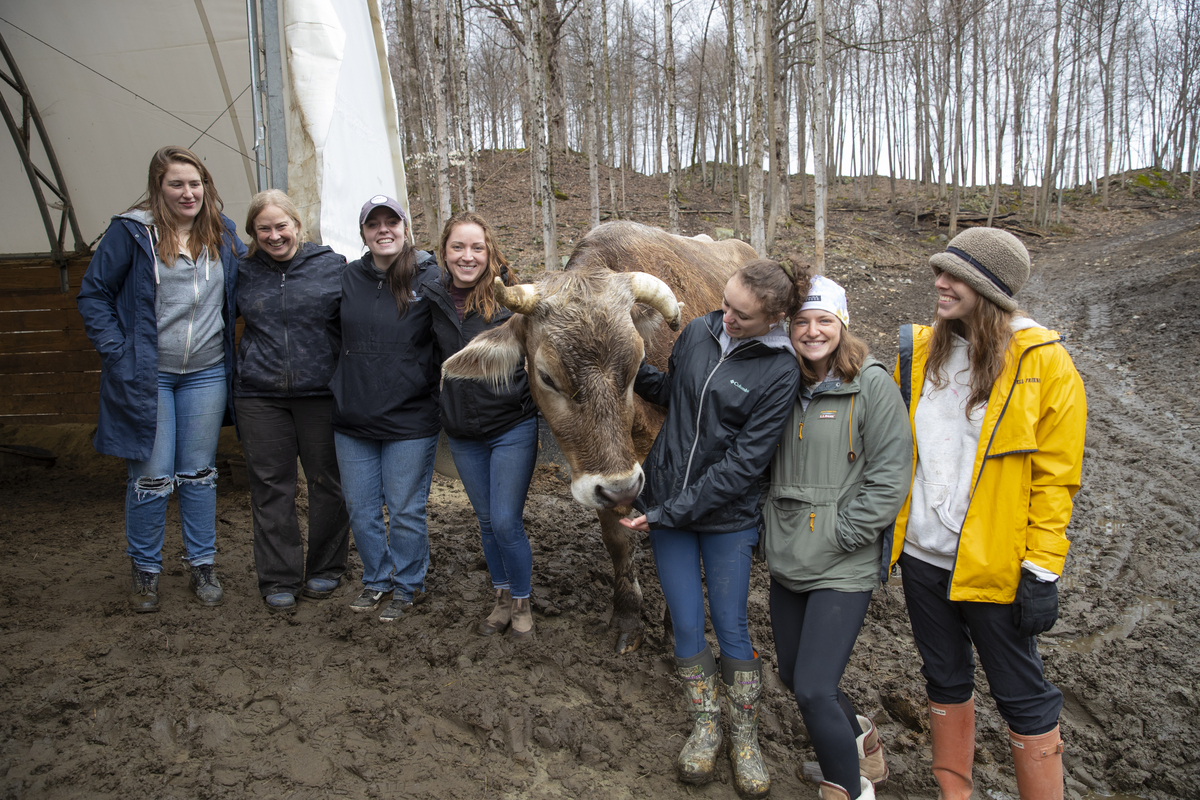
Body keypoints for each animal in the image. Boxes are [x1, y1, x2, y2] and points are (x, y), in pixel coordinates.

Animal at [441, 220, 758, 657]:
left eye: (637, 365)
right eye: (546, 376)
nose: (623, 487)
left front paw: (677, 629)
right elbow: (619, 543)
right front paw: (626, 619)